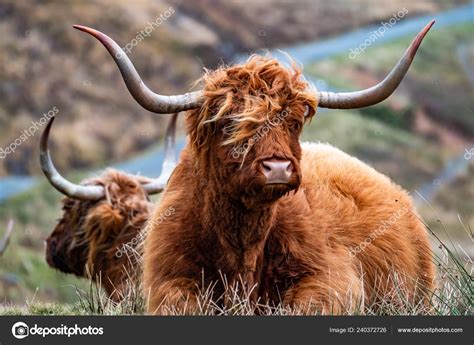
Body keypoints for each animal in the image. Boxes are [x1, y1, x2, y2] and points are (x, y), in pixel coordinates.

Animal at [75, 20, 436, 314]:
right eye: (230, 124)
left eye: (294, 122)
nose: (277, 168)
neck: (242, 244)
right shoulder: (168, 278)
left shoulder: (332, 277)